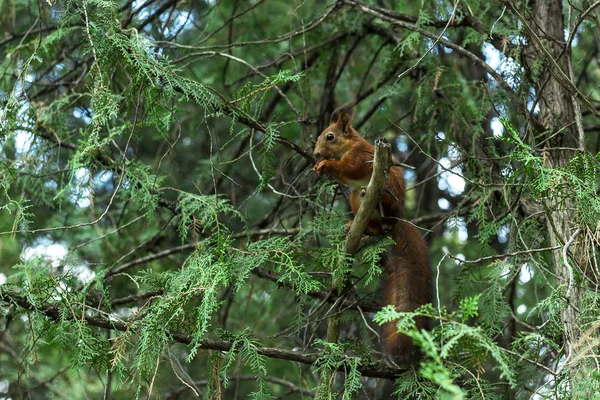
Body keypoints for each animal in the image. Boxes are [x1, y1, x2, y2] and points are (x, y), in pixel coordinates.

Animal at [314, 105, 432, 362]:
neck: (349, 144)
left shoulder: (360, 158)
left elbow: (348, 169)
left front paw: (325, 165)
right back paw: (358, 228)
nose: (316, 154)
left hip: (384, 195)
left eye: (330, 136)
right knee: (375, 225)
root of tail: (396, 218)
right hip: (357, 200)